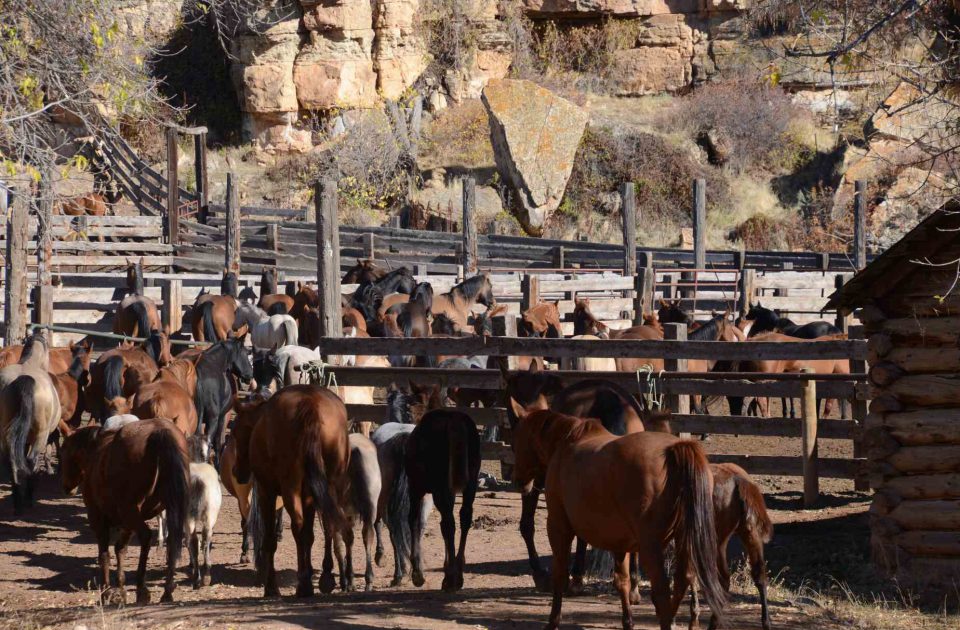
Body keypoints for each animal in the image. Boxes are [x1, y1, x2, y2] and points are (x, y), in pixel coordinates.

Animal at [0, 334, 63, 512]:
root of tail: (23, 378)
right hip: (40, 435)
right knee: (31, 460)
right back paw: (27, 499)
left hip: (6, 434)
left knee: (11, 461)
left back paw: (17, 503)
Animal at [61, 420, 189, 608]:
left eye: (63, 451)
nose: (66, 487)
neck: (96, 452)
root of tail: (159, 430)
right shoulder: (126, 522)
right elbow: (120, 549)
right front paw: (120, 589)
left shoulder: (98, 518)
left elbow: (104, 554)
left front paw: (106, 592)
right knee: (172, 539)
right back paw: (167, 591)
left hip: (130, 511)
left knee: (145, 536)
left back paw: (142, 589)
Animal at [186, 464, 221, 592]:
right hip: (209, 516)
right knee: (204, 538)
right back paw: (205, 576)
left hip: (190, 518)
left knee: (194, 541)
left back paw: (198, 577)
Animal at [232, 388, 352, 600]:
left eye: (236, 431)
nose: (237, 471)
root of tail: (309, 402)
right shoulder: (309, 496)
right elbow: (311, 535)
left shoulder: (266, 491)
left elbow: (270, 539)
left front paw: (271, 587)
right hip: (334, 484)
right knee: (331, 524)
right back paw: (325, 578)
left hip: (290, 488)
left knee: (298, 526)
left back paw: (304, 585)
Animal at [510, 408, 728, 628]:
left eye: (516, 440)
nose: (518, 480)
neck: (566, 443)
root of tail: (675, 448)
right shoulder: (620, 541)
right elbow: (621, 580)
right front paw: (628, 621)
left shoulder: (558, 526)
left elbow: (560, 573)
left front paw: (553, 620)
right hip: (683, 539)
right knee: (684, 579)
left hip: (651, 547)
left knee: (663, 590)